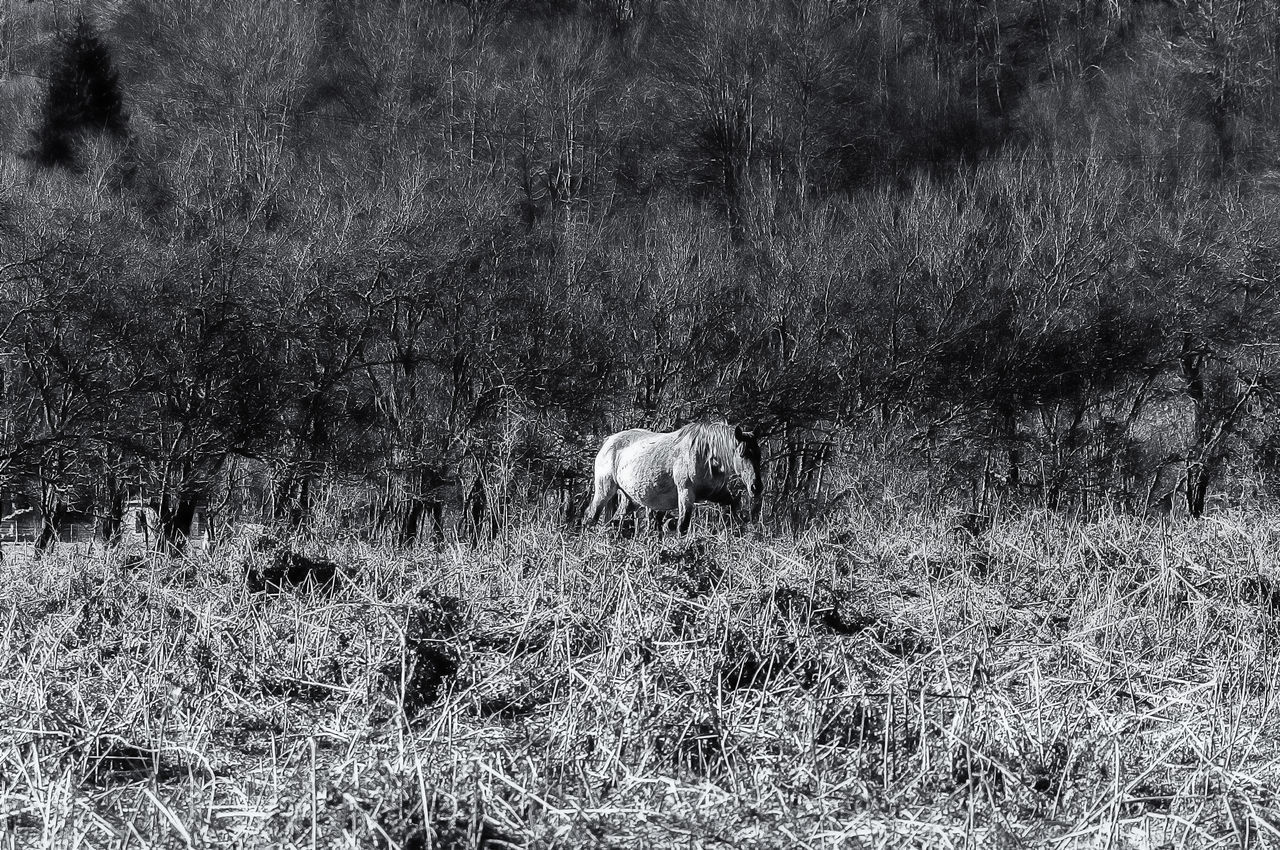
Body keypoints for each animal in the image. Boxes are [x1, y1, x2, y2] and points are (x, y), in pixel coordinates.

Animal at [586, 422, 762, 535]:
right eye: (742, 454)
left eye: (759, 455)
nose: (756, 487)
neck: (705, 455)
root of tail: (608, 441)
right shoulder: (685, 494)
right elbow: (682, 526)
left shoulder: (718, 493)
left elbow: (733, 506)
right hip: (604, 491)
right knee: (591, 517)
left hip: (630, 499)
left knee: (615, 522)